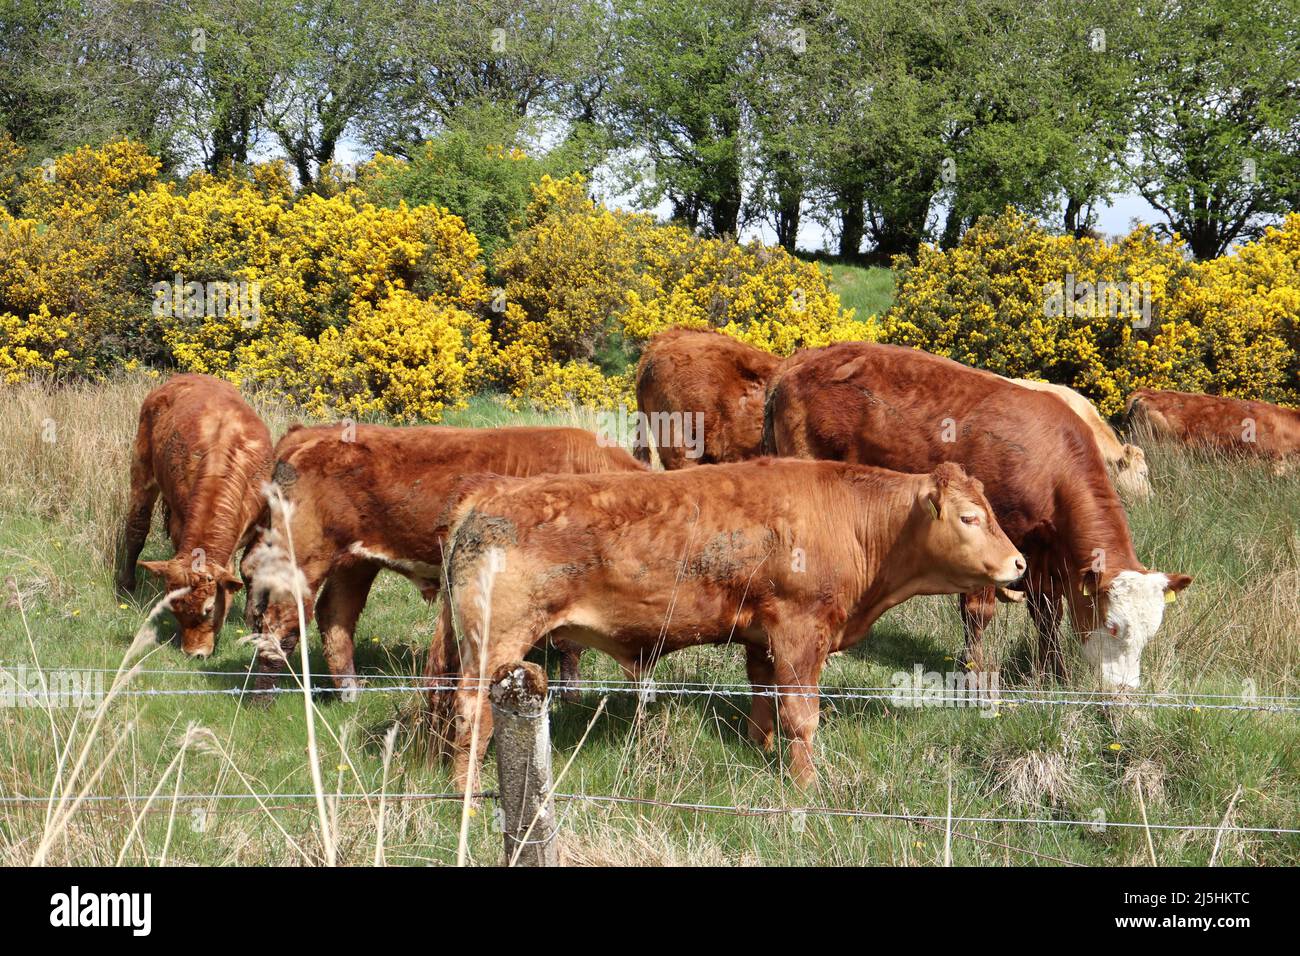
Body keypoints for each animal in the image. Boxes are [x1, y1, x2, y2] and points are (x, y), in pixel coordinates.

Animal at [116, 373, 273, 657]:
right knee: (137, 527)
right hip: (141, 468)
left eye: (209, 609)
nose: (194, 653)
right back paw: (126, 584)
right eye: (174, 609)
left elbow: (249, 567)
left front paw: (252, 619)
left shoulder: (263, 520)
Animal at [243, 424, 646, 696]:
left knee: (334, 614)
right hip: (302, 557)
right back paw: (262, 697)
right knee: (280, 621)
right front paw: (571, 697)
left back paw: (350, 692)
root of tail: (306, 436)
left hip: (354, 562)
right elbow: (570, 645)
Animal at [433, 458, 1026, 790]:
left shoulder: (763, 640)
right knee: (473, 714)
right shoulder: (800, 633)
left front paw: (761, 752)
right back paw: (467, 791)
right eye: (970, 518)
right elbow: (801, 718)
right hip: (497, 643)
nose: (1019, 564)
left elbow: (764, 703)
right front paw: (807, 788)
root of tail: (492, 490)